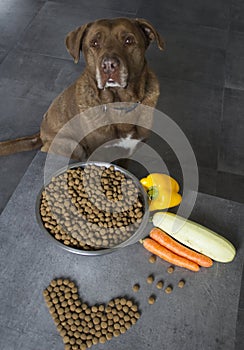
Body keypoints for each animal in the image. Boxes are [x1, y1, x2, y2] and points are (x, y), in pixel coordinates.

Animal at [0, 18, 165, 160]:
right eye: (94, 43)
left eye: (129, 40)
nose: (108, 65)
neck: (120, 104)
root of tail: (40, 134)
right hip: (72, 145)